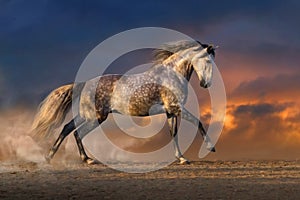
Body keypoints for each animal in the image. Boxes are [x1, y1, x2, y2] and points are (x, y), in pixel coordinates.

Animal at [31, 40, 217, 164]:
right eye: (207, 61)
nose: (206, 84)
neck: (171, 75)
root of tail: (83, 84)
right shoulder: (176, 107)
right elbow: (198, 122)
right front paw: (210, 148)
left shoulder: (170, 111)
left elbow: (174, 133)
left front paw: (181, 158)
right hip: (97, 117)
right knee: (77, 132)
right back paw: (86, 159)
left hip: (87, 115)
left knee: (67, 128)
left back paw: (51, 157)